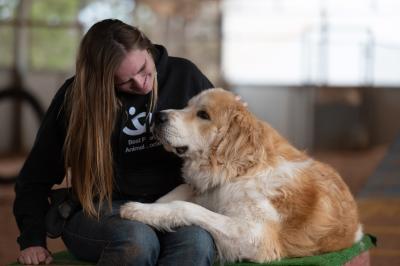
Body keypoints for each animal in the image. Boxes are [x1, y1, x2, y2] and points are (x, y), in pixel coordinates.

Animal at [119, 89, 362, 262]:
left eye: (203, 114)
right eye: (186, 106)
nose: (157, 116)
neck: (241, 170)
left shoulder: (256, 236)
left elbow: (186, 207)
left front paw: (139, 210)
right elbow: (179, 192)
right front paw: (151, 209)